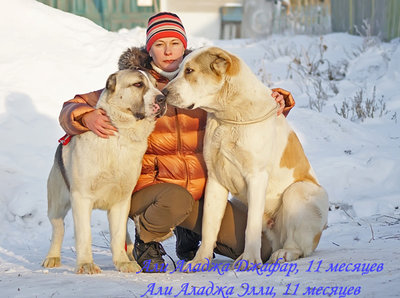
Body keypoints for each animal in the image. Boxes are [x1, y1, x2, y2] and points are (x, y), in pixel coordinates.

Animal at [43, 68, 167, 274]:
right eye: (138, 84)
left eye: (157, 86)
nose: (163, 98)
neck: (120, 137)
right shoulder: (81, 198)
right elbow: (84, 235)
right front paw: (86, 264)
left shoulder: (122, 200)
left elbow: (117, 235)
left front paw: (123, 262)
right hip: (58, 202)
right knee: (58, 229)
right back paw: (52, 257)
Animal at [164, 47, 330, 268]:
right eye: (178, 70)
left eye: (189, 71)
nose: (164, 92)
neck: (229, 116)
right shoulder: (215, 179)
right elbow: (209, 224)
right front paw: (200, 260)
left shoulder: (256, 177)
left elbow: (251, 225)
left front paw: (249, 259)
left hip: (298, 191)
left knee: (299, 246)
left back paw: (284, 253)